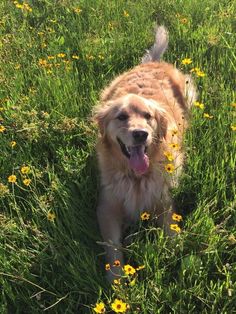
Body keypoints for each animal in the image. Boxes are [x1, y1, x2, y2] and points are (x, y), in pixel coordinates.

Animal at [93, 26, 196, 282]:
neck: (136, 177)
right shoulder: (107, 207)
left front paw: (178, 259)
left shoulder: (163, 200)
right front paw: (118, 278)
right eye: (121, 117)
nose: (140, 134)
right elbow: (113, 246)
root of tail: (153, 63)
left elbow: (172, 233)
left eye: (148, 116)